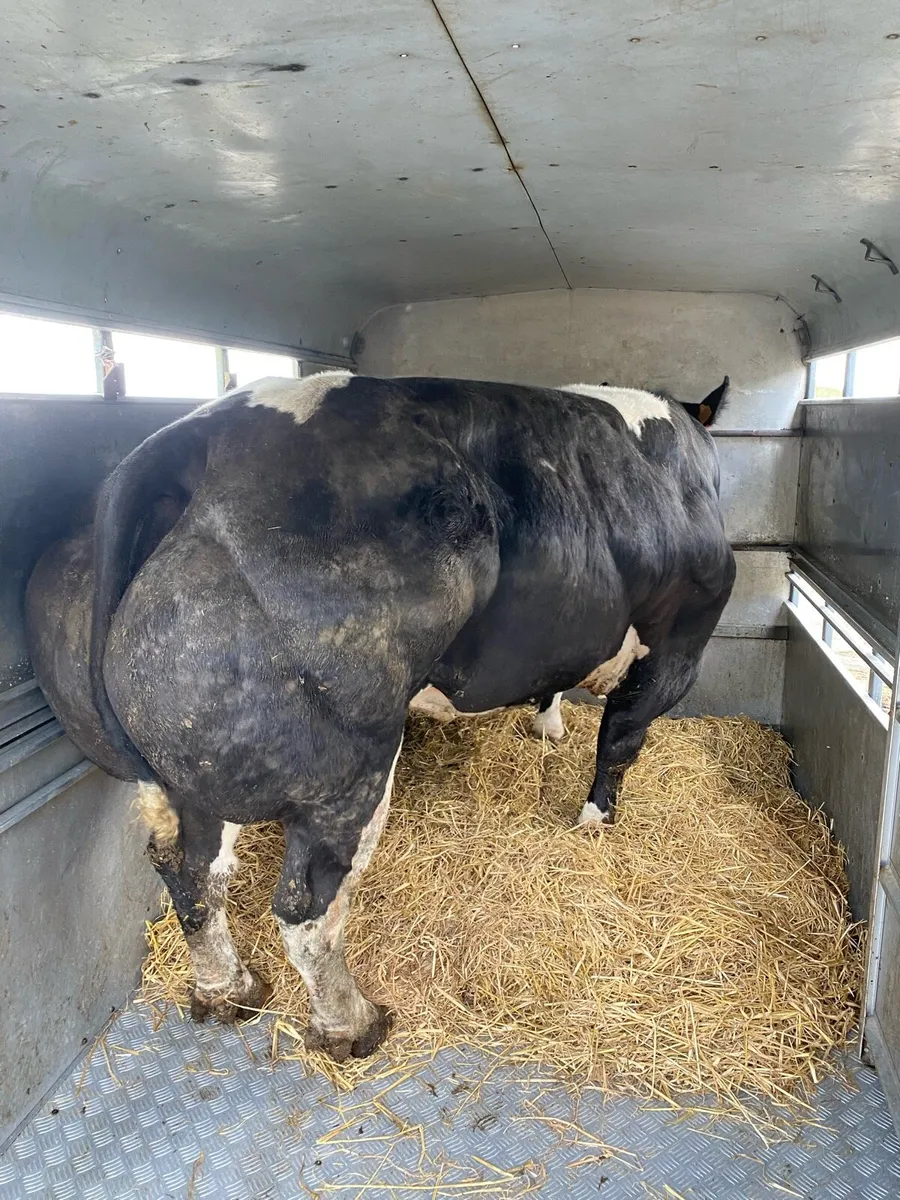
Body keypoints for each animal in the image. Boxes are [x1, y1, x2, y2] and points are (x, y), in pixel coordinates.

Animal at [25, 372, 735, 1062]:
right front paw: (596, 821)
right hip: (347, 769)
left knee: (190, 870)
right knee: (304, 907)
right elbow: (621, 736)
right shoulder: (681, 642)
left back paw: (228, 990)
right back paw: (350, 1024)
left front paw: (548, 729)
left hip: (186, 767)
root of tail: (199, 435)